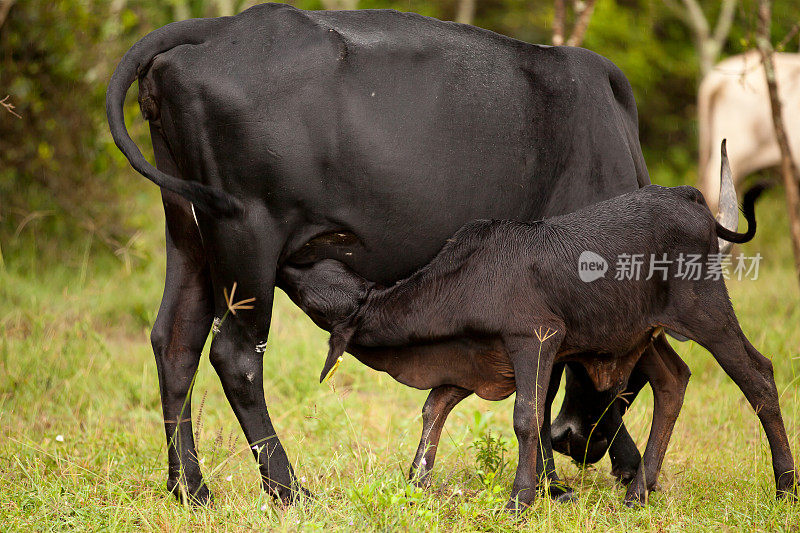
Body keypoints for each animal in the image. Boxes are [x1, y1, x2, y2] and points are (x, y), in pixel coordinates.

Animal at [106, 3, 664, 502]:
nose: (573, 442)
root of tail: (221, 27)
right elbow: (545, 384)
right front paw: (558, 480)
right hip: (245, 236)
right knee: (236, 356)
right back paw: (287, 489)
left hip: (190, 234)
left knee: (175, 343)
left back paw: (190, 488)